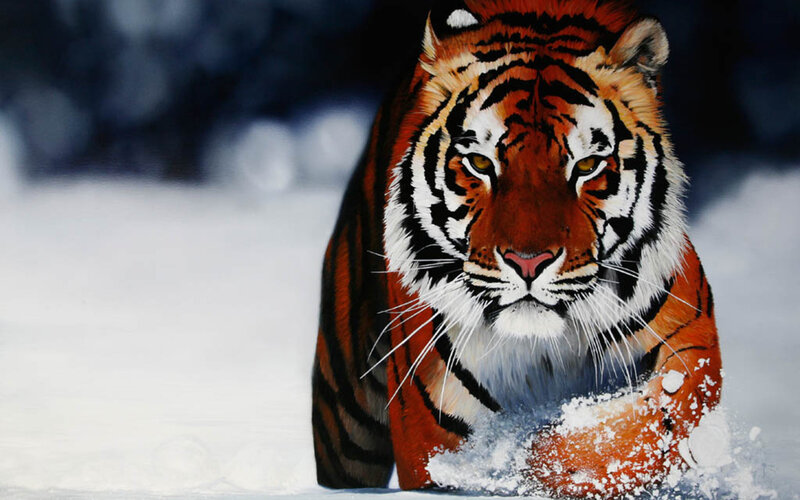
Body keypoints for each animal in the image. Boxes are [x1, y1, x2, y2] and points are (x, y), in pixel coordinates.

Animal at [311, 0, 722, 497]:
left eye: (587, 166)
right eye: (479, 163)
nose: (529, 263)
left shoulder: (690, 344)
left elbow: (636, 429)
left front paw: (532, 458)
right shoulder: (429, 427)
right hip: (345, 416)